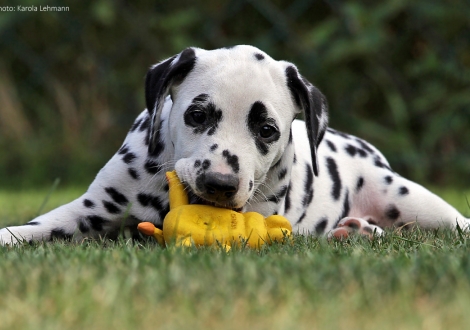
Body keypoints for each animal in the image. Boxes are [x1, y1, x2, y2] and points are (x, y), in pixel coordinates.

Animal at [1, 45, 468, 244]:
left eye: (267, 130)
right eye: (197, 115)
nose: (221, 184)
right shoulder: (86, 211)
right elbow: (27, 230)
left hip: (411, 200)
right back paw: (353, 232)